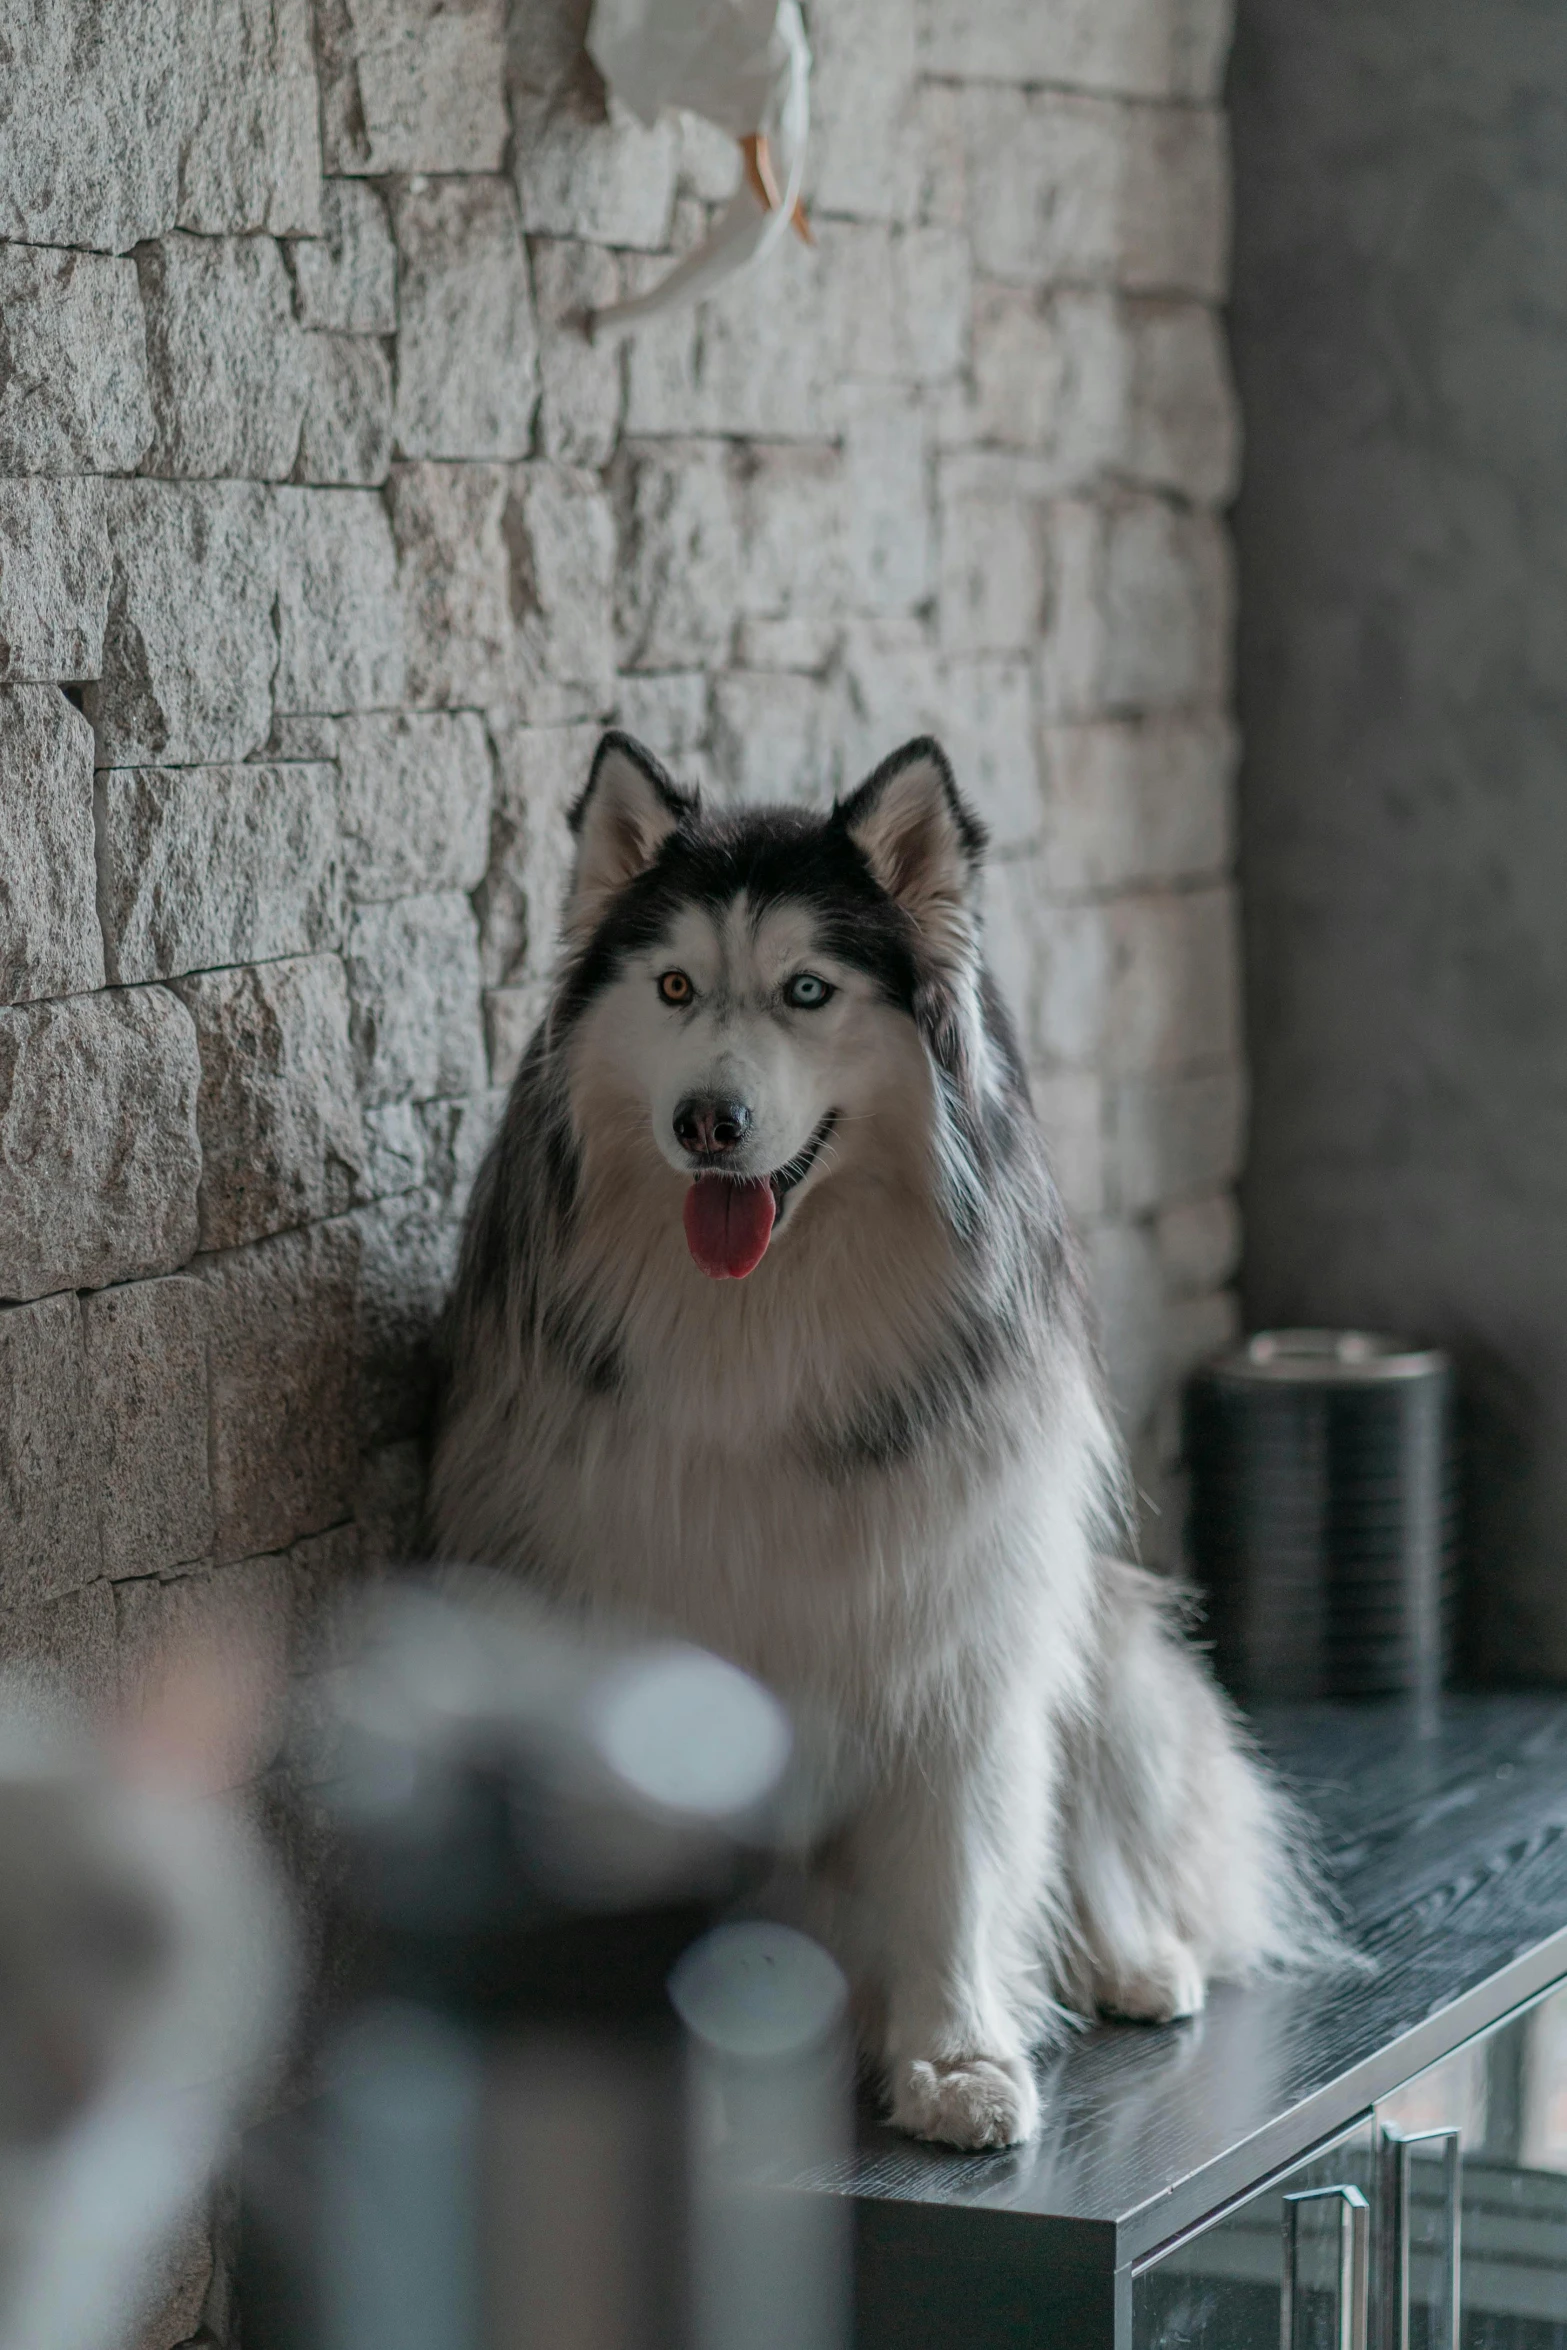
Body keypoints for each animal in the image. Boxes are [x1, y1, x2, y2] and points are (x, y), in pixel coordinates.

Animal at [434, 733, 1334, 2152]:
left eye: (807, 989)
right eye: (675, 985)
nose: (706, 1121)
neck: (760, 1323)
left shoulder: (960, 1618)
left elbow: (959, 1861)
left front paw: (957, 2056)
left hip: (1099, 1630)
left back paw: (1133, 1957)